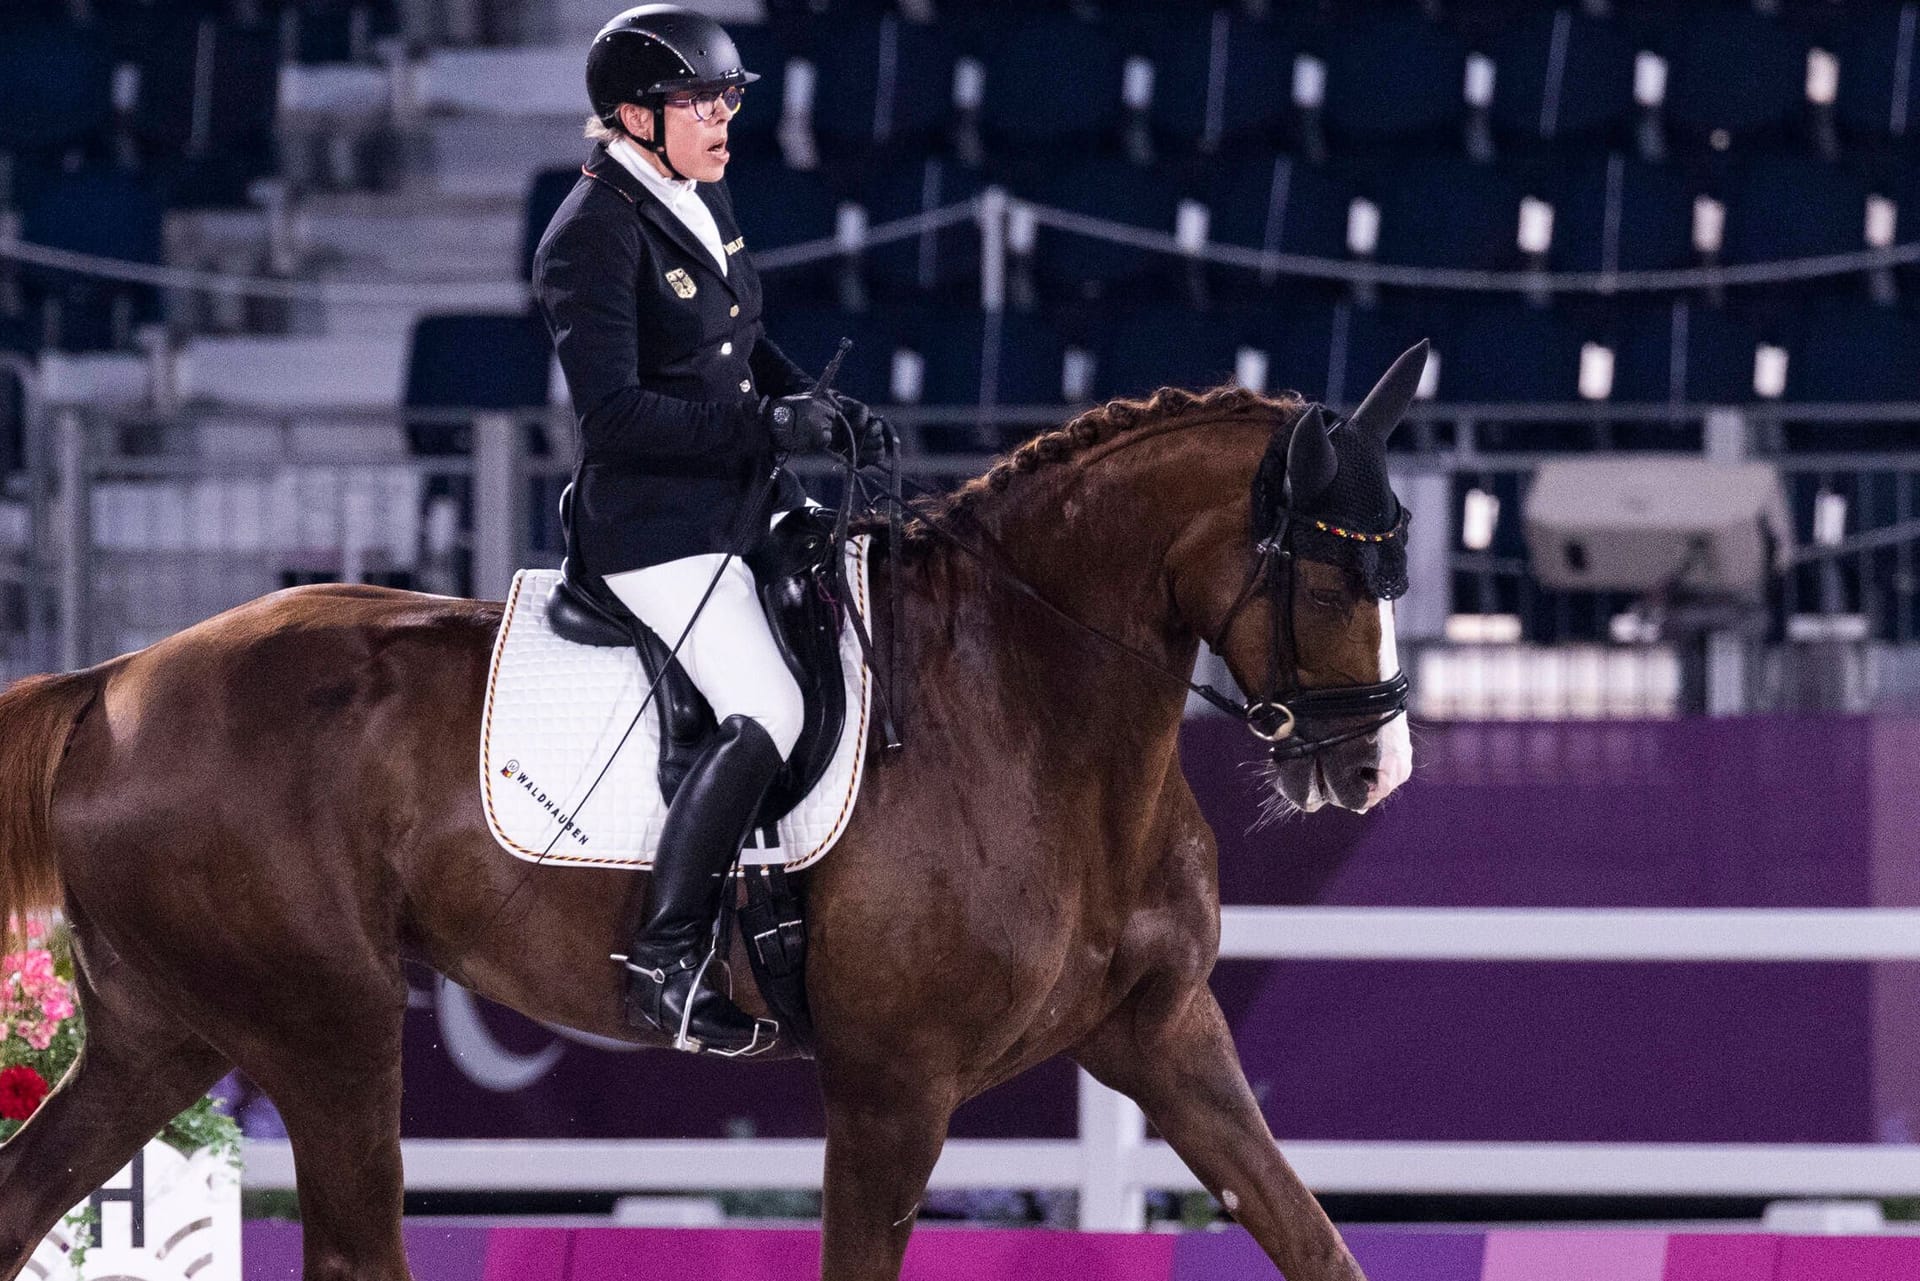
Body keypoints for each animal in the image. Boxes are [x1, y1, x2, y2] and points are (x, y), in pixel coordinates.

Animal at [3, 353, 1428, 1281]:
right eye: (1330, 570)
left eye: (1401, 564)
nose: (1375, 768)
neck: (1030, 702)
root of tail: (114, 682)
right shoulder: (893, 1085)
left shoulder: (1165, 1036)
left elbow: (1315, 1240)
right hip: (326, 1027)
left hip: (170, 1033)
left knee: (26, 1199)